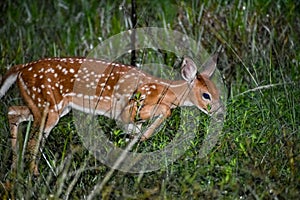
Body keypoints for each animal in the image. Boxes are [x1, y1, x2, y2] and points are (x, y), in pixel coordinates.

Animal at [0, 54, 223, 175]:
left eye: (218, 92)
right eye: (206, 95)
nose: (220, 113)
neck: (164, 89)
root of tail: (21, 69)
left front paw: (132, 148)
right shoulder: (129, 110)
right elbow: (164, 111)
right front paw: (143, 136)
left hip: (46, 106)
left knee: (13, 112)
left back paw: (14, 170)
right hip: (47, 105)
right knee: (33, 139)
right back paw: (33, 174)